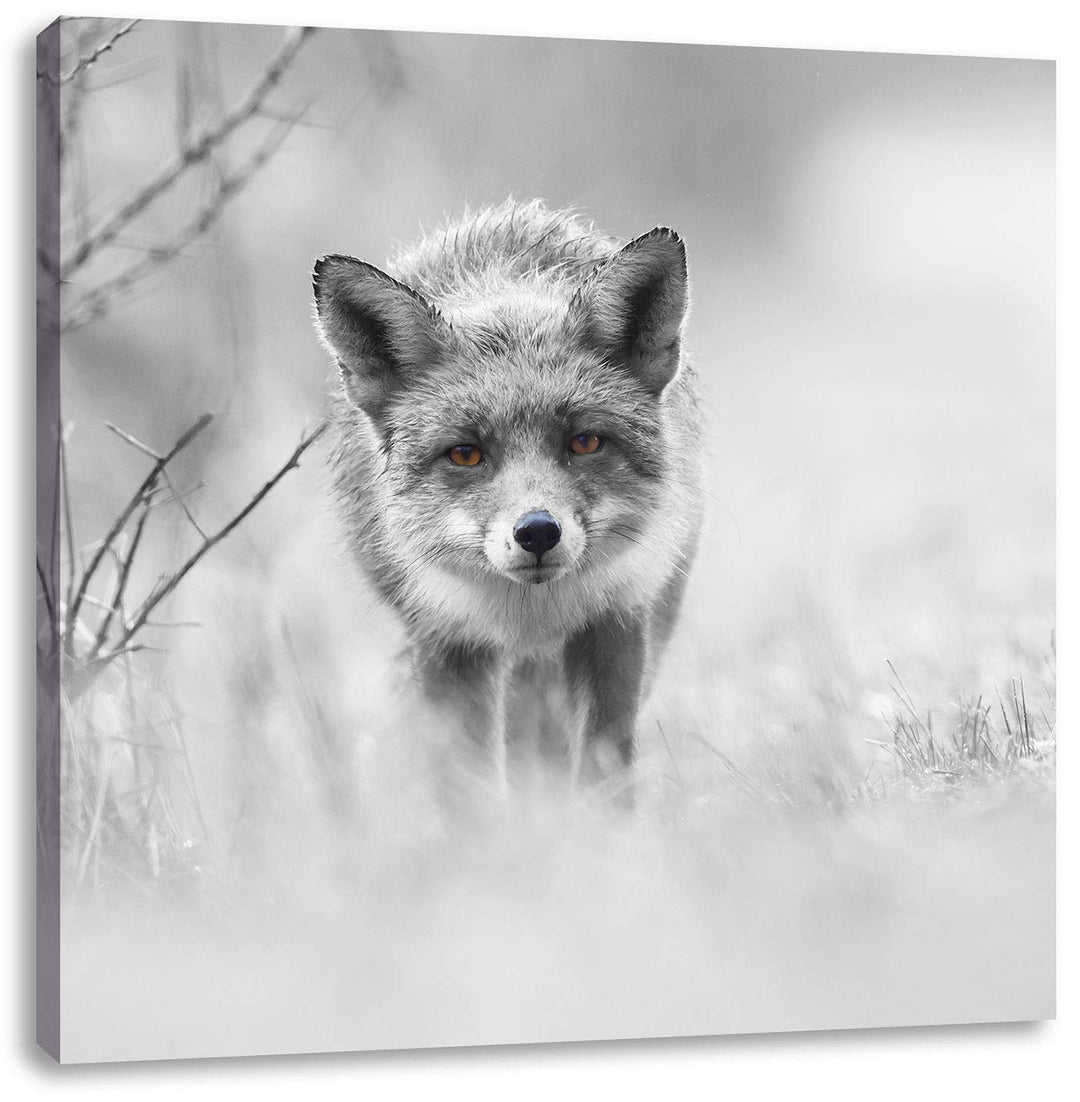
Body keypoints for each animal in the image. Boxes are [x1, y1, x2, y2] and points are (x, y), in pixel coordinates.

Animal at [312, 199, 704, 802]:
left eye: (584, 442)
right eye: (466, 454)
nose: (537, 531)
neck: (532, 613)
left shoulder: (617, 622)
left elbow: (603, 774)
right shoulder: (446, 641)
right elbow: (467, 789)